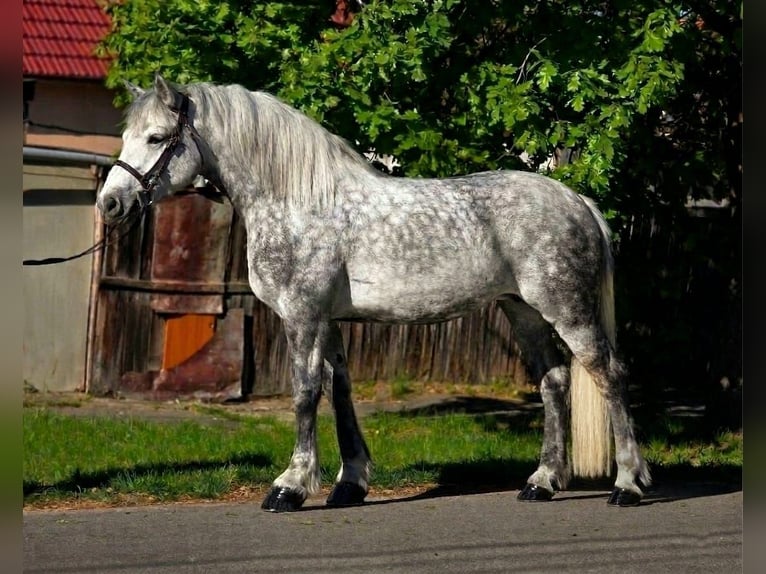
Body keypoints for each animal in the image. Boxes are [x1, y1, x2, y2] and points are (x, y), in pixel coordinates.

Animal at [97, 74, 651, 512]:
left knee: (609, 375)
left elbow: (304, 393)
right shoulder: (328, 320)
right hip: (524, 311)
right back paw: (542, 482)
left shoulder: (301, 315)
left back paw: (627, 484)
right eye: (124, 136)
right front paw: (350, 484)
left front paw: (289, 487)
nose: (111, 204)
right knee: (554, 381)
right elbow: (338, 391)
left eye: (156, 137)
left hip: (567, 308)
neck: (298, 200)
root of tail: (577, 200)